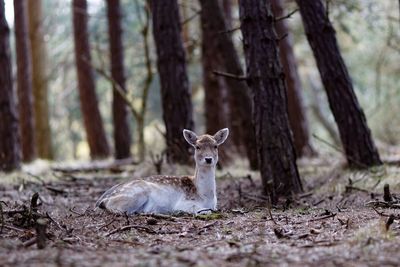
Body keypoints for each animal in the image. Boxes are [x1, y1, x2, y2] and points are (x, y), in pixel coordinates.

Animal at [95, 128, 230, 216]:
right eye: (197, 147)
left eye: (215, 146)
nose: (208, 159)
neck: (205, 195)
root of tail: (99, 202)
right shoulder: (184, 203)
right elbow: (205, 211)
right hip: (135, 194)